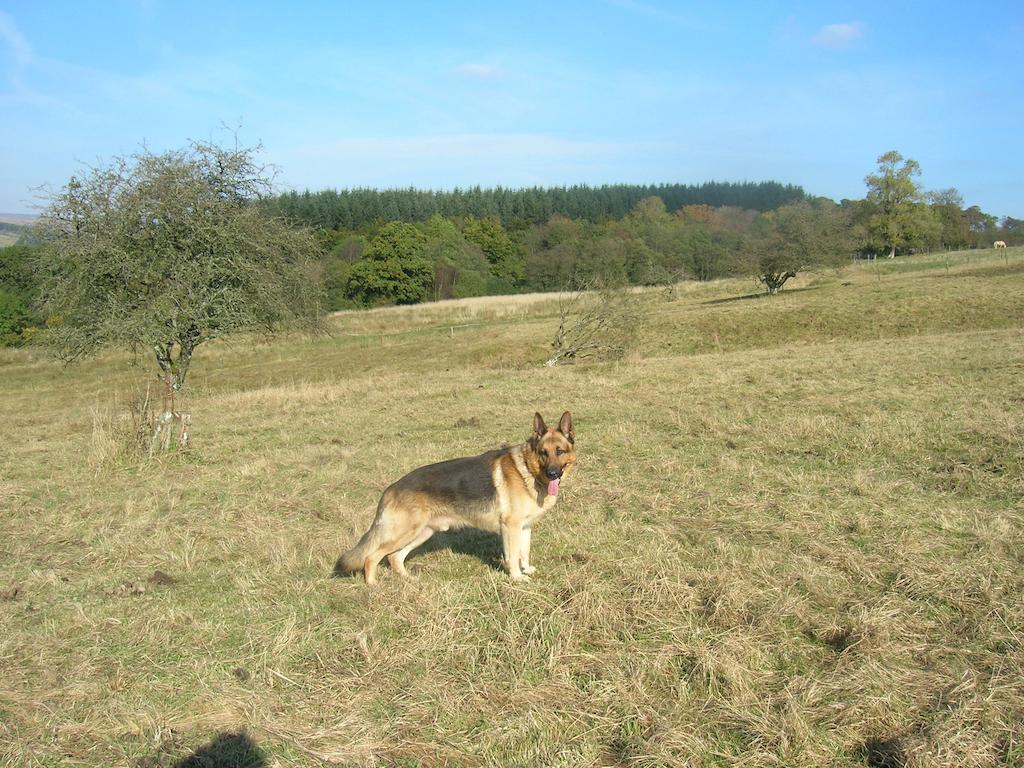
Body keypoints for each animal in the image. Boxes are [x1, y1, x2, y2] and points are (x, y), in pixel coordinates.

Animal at [337, 415, 573, 581]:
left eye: (559, 451)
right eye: (543, 453)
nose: (553, 474)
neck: (528, 469)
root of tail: (391, 488)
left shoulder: (524, 527)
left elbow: (524, 551)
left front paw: (527, 569)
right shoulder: (511, 527)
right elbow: (513, 555)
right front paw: (516, 577)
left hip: (422, 533)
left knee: (394, 557)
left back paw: (408, 579)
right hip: (404, 533)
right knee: (371, 558)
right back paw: (373, 587)